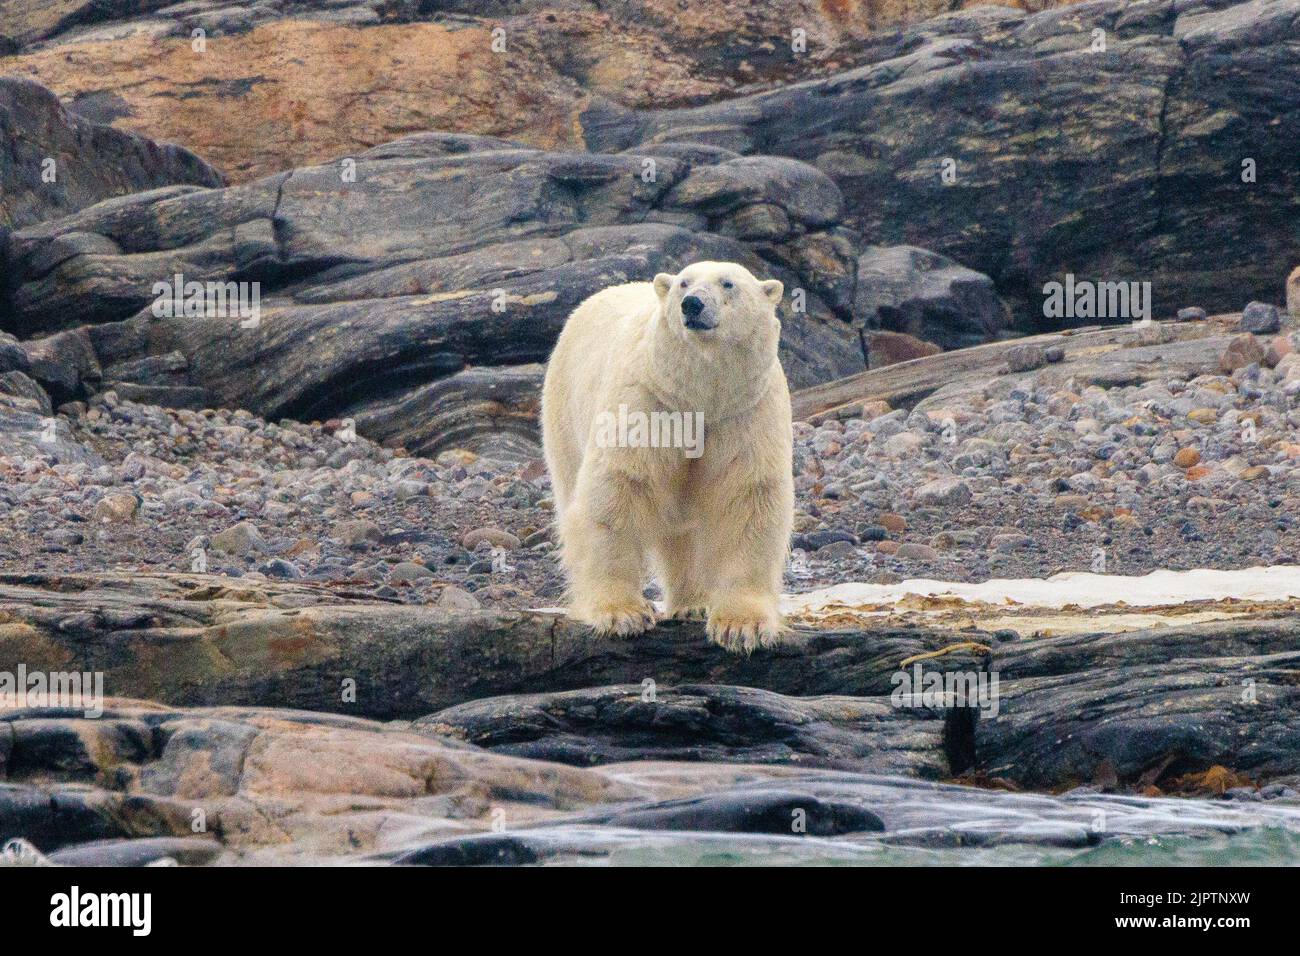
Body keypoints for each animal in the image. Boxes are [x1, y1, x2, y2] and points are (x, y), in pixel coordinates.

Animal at [540, 260, 794, 653]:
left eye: (728, 283)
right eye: (683, 284)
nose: (692, 304)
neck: (700, 396)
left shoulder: (746, 412)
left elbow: (747, 497)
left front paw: (741, 627)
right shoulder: (649, 400)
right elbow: (616, 490)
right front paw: (622, 615)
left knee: (684, 532)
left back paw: (694, 602)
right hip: (564, 411)